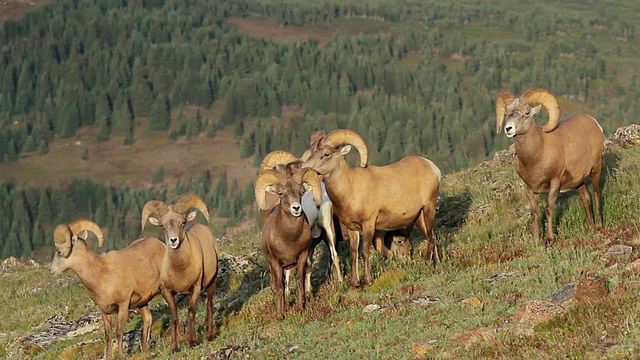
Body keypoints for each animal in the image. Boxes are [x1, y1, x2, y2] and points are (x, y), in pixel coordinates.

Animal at [51, 219, 165, 360]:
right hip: (142, 303)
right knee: (148, 318)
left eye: (59, 252)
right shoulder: (105, 311)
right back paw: (144, 349)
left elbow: (119, 332)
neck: (102, 275)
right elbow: (108, 335)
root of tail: (160, 244)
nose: (52, 270)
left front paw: (121, 356)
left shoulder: (123, 305)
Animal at [141, 195, 219, 352]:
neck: (180, 269)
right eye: (162, 226)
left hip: (211, 284)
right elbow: (174, 317)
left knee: (209, 305)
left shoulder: (196, 287)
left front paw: (193, 342)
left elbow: (191, 312)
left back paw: (209, 335)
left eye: (183, 223)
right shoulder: (169, 292)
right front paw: (174, 348)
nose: (173, 240)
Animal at [255, 167, 322, 320]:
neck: (289, 238)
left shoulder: (302, 257)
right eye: (281, 193)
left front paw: (300, 308)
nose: (296, 208)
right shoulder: (276, 262)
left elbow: (299, 282)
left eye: (301, 191)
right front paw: (280, 315)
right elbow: (280, 288)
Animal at [302, 129, 442, 290]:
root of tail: (432, 167)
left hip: (429, 208)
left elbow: (364, 252)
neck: (350, 188)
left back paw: (428, 264)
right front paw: (353, 284)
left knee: (430, 238)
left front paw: (366, 282)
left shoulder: (368, 225)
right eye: (312, 152)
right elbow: (354, 254)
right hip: (419, 217)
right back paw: (437, 263)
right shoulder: (352, 229)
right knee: (431, 236)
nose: (304, 167)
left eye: (326, 154)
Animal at [496, 88, 604, 243]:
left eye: (527, 113)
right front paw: (535, 240)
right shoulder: (530, 189)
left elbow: (549, 209)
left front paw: (550, 239)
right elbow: (534, 213)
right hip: (578, 182)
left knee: (596, 194)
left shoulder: (554, 183)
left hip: (596, 168)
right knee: (586, 198)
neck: (536, 157)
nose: (508, 128)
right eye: (506, 114)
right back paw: (590, 228)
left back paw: (599, 226)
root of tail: (594, 123)